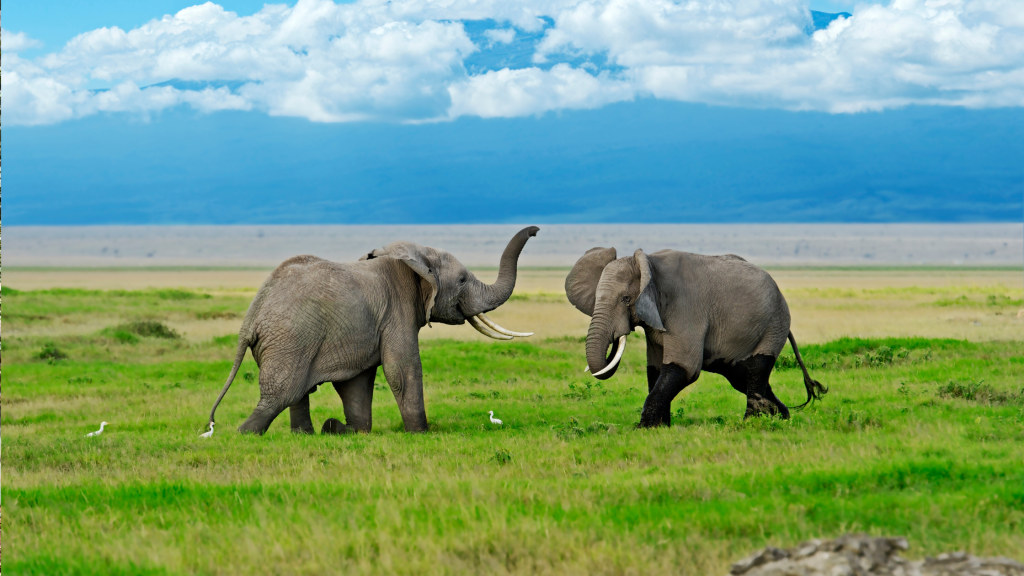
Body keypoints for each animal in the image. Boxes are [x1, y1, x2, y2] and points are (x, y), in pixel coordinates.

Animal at [209, 226, 544, 432]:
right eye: (462, 280)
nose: (537, 230)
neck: (417, 257)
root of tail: (252, 316)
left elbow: (357, 382)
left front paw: (351, 430)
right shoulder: (397, 310)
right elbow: (402, 370)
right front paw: (421, 433)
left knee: (297, 393)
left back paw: (312, 433)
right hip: (290, 339)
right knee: (281, 395)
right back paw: (245, 434)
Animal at [565, 247, 827, 426]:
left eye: (626, 299)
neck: (648, 263)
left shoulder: (685, 308)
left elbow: (684, 367)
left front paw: (642, 429)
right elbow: (655, 370)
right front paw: (660, 428)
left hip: (774, 324)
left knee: (756, 369)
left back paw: (750, 424)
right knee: (742, 377)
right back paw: (781, 418)